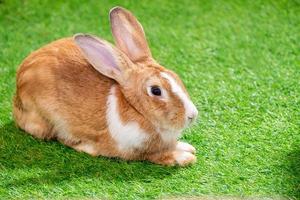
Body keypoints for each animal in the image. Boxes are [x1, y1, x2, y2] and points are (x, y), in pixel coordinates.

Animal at [12, 6, 198, 166]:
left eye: (176, 76)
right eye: (156, 90)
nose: (192, 115)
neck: (137, 110)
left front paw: (186, 147)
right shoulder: (136, 150)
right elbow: (156, 155)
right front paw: (185, 157)